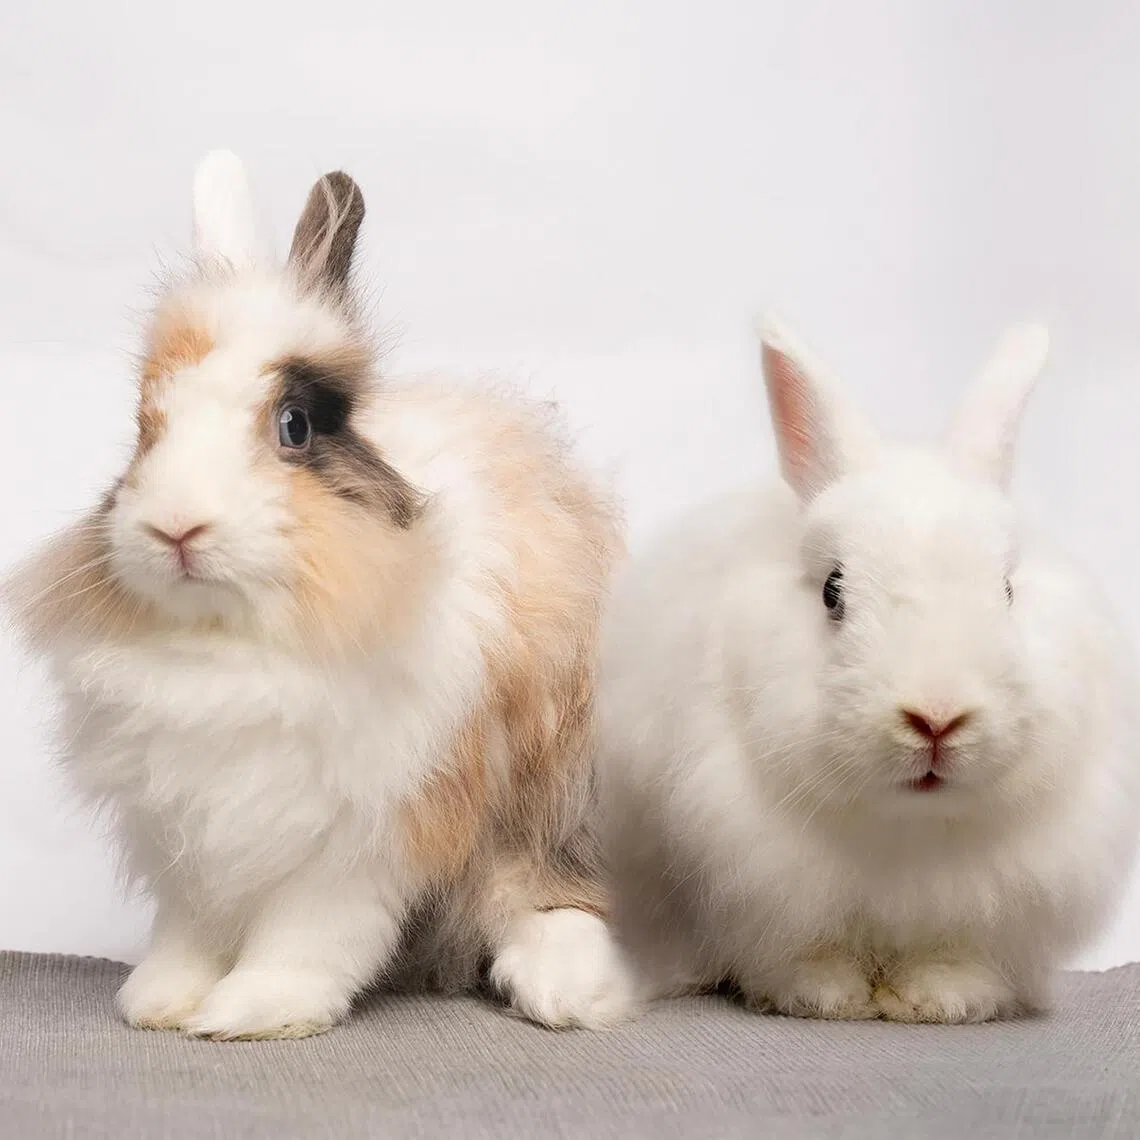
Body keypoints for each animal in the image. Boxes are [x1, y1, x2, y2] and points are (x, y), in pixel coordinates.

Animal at [3, 151, 634, 1040]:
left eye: (295, 425)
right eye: (144, 427)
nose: (176, 528)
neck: (236, 643)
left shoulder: (365, 833)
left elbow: (311, 935)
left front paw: (252, 1010)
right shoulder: (192, 830)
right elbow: (191, 928)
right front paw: (161, 999)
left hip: (562, 795)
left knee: (550, 888)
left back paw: (568, 987)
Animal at [595, 316, 1140, 1024]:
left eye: (1007, 590)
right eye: (833, 591)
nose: (936, 719)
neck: (908, 826)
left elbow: (953, 952)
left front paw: (942, 1000)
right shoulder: (754, 874)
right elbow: (804, 951)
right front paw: (826, 995)